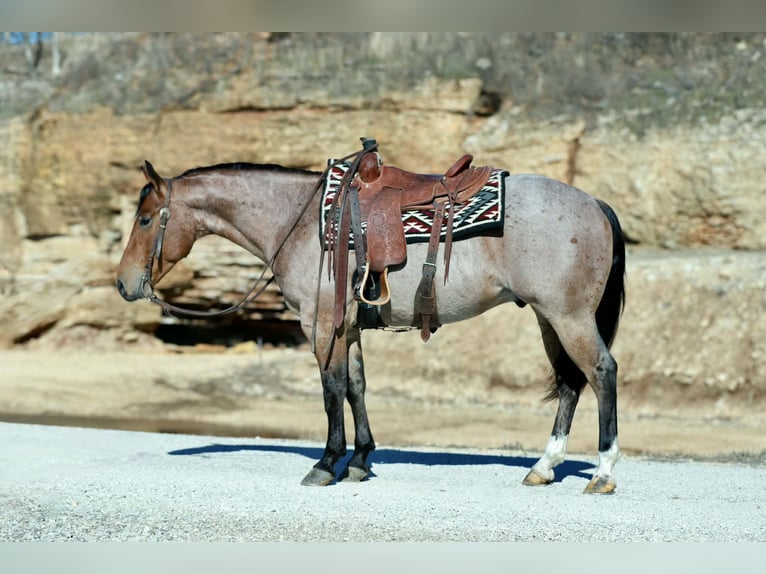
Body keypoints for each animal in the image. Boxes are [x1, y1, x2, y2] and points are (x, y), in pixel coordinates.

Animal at [115, 151, 626, 494]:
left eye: (145, 220)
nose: (123, 284)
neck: (300, 222)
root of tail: (595, 203)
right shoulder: (350, 326)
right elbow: (357, 386)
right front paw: (360, 460)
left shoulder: (321, 324)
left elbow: (332, 389)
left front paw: (327, 463)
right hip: (548, 318)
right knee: (570, 382)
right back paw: (543, 466)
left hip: (569, 317)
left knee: (601, 373)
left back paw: (602, 471)